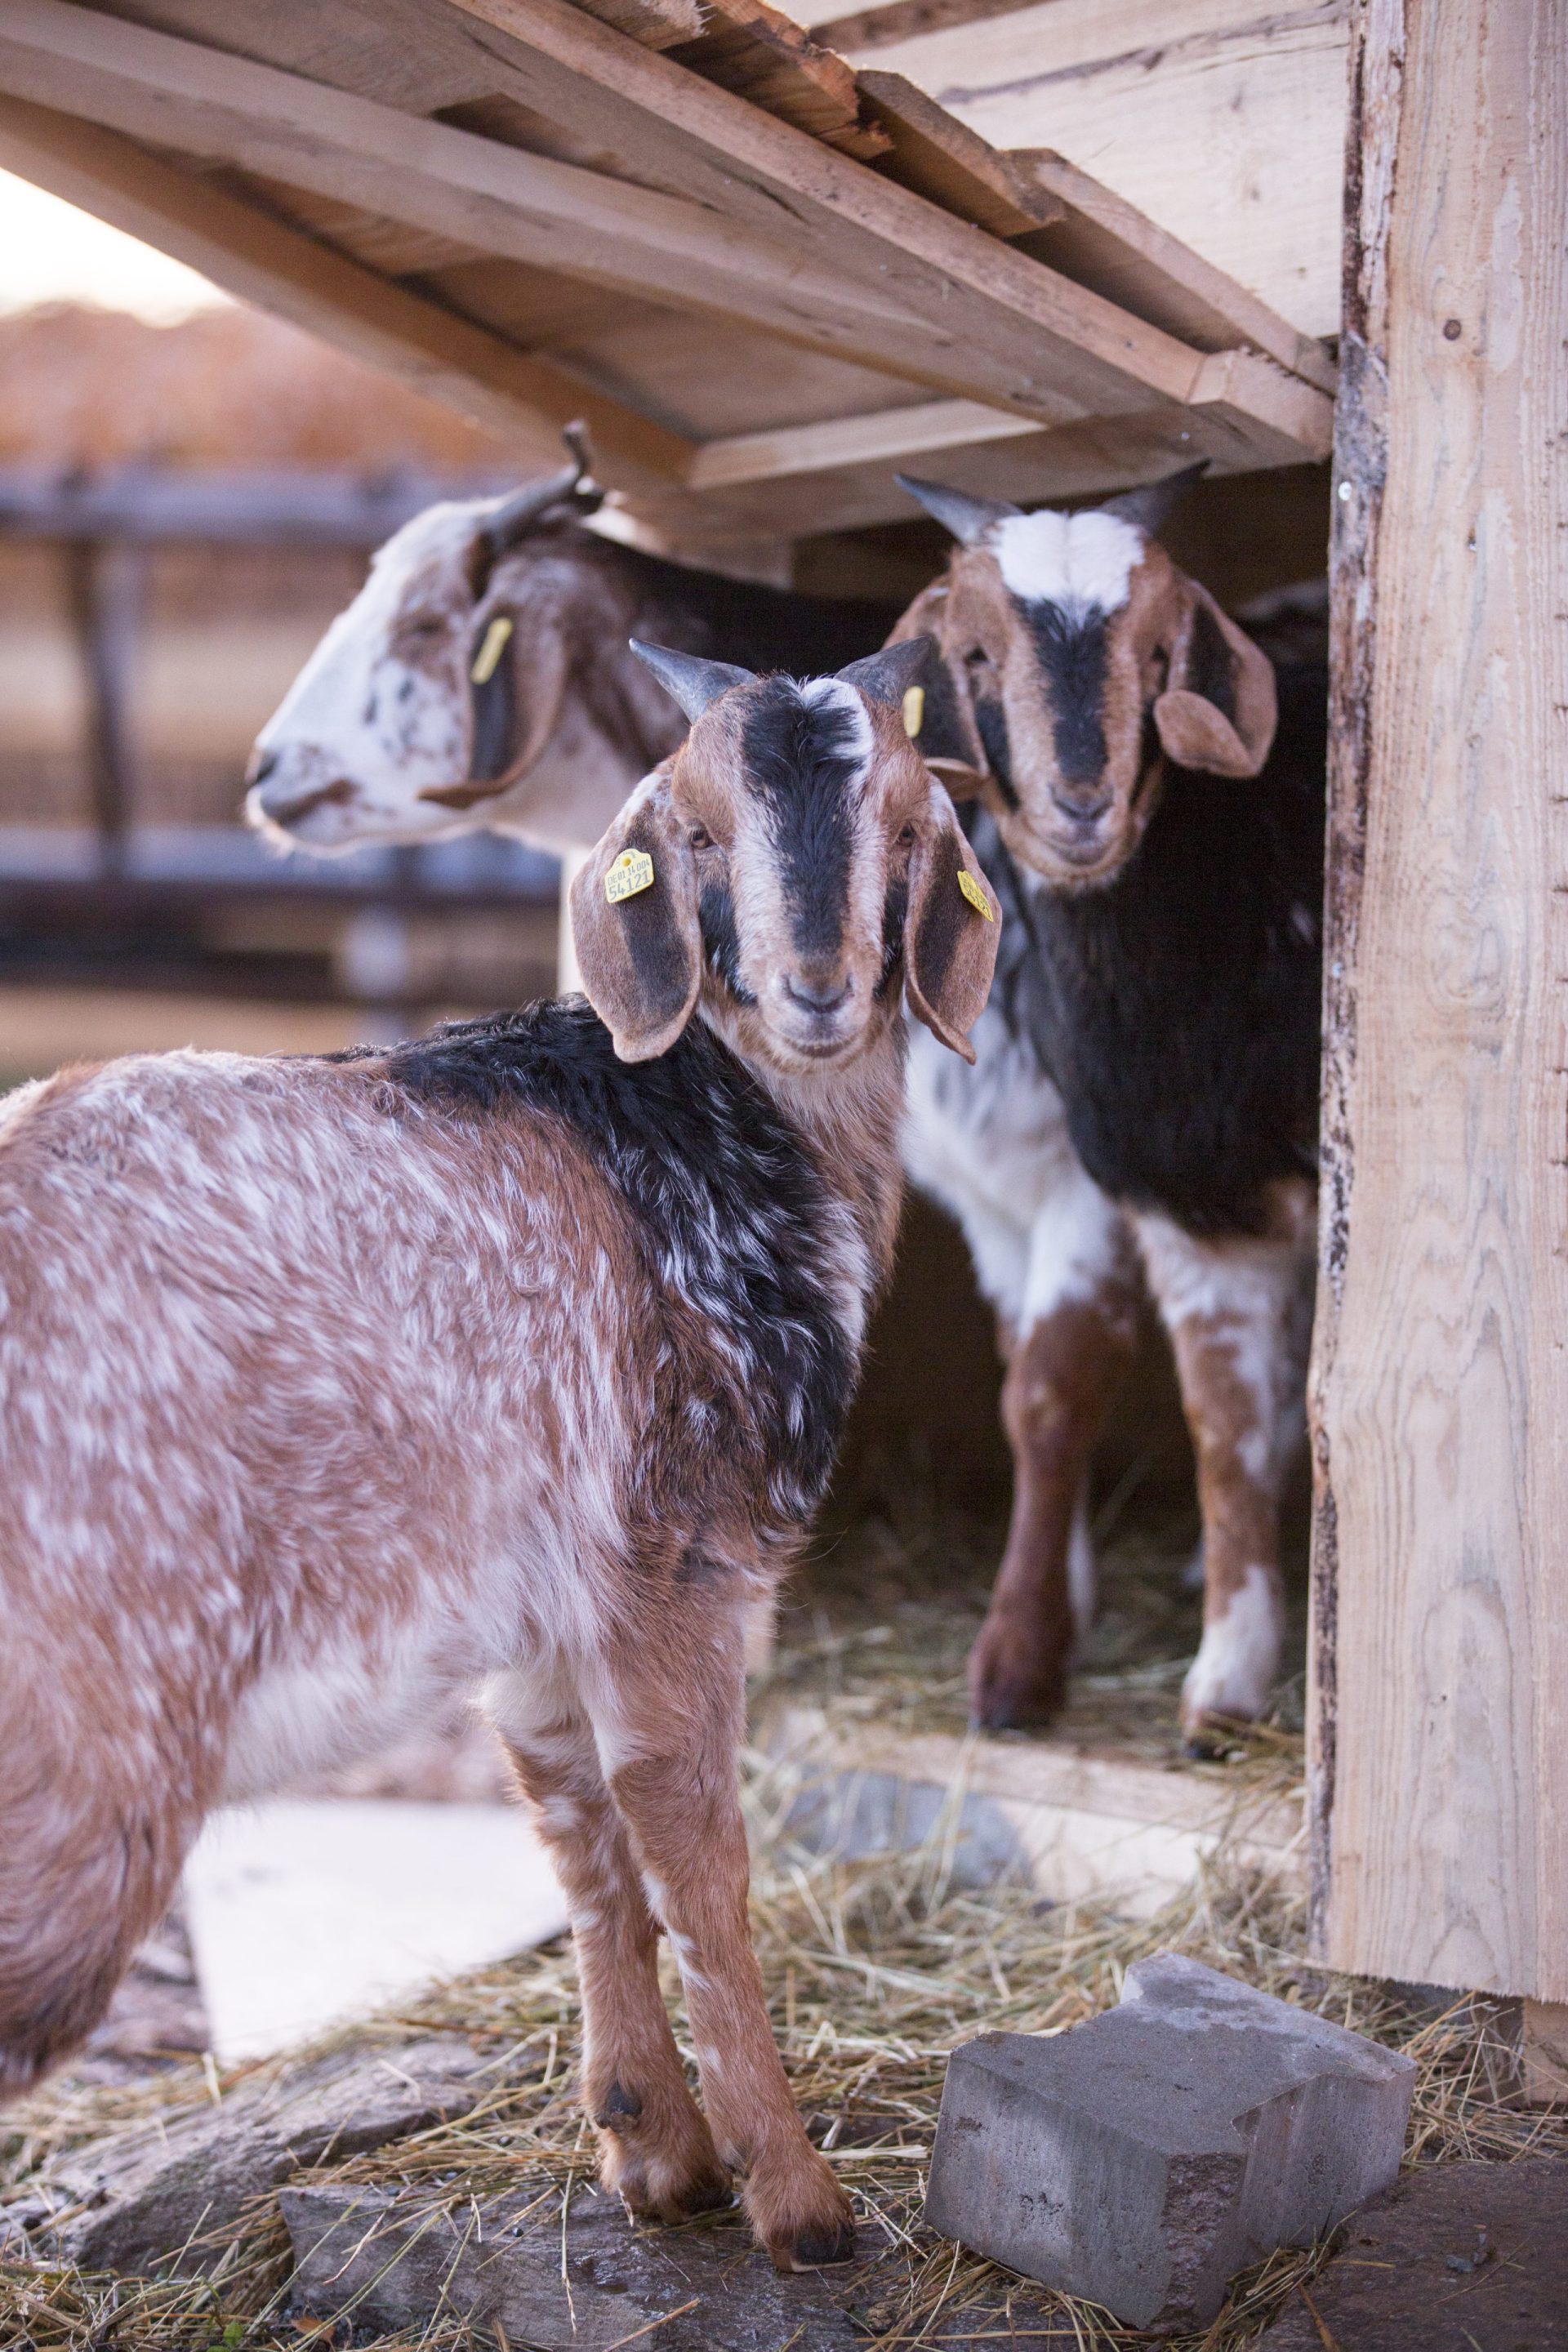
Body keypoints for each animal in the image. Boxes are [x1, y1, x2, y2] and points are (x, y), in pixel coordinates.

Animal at [0, 635, 999, 2270]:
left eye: (908, 827)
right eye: (695, 831)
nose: (817, 988)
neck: (704, 1114)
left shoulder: (537, 1609)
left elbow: (578, 1826)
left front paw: (654, 2153)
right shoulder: (679, 1560)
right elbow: (695, 1848)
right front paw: (798, 2201)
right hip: (88, 1765)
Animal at [893, 469, 1325, 1752]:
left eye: (1163, 651)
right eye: (974, 654)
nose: (1079, 805)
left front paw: (1019, 1666)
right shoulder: (1176, 1191)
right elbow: (1221, 1428)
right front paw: (1225, 1682)